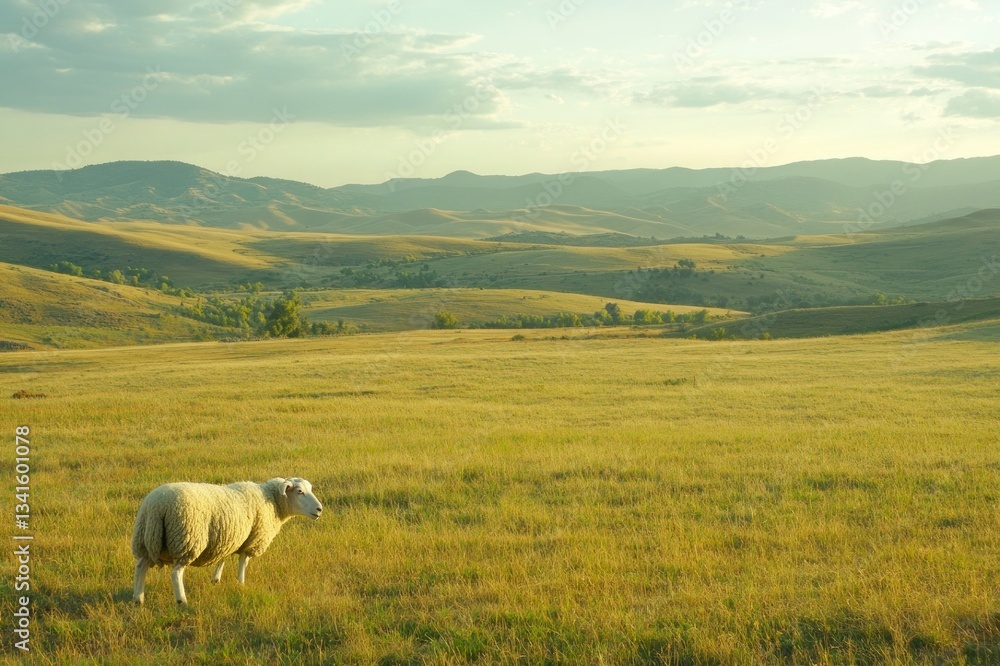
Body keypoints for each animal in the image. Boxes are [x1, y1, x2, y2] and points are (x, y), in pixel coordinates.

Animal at [131, 477, 322, 605]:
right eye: (299, 491)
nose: (320, 509)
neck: (272, 500)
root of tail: (156, 506)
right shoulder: (252, 540)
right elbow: (243, 562)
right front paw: (241, 583)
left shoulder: (228, 537)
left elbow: (223, 557)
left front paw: (216, 579)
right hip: (186, 540)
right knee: (176, 573)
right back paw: (182, 600)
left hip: (147, 539)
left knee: (141, 567)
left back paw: (138, 599)